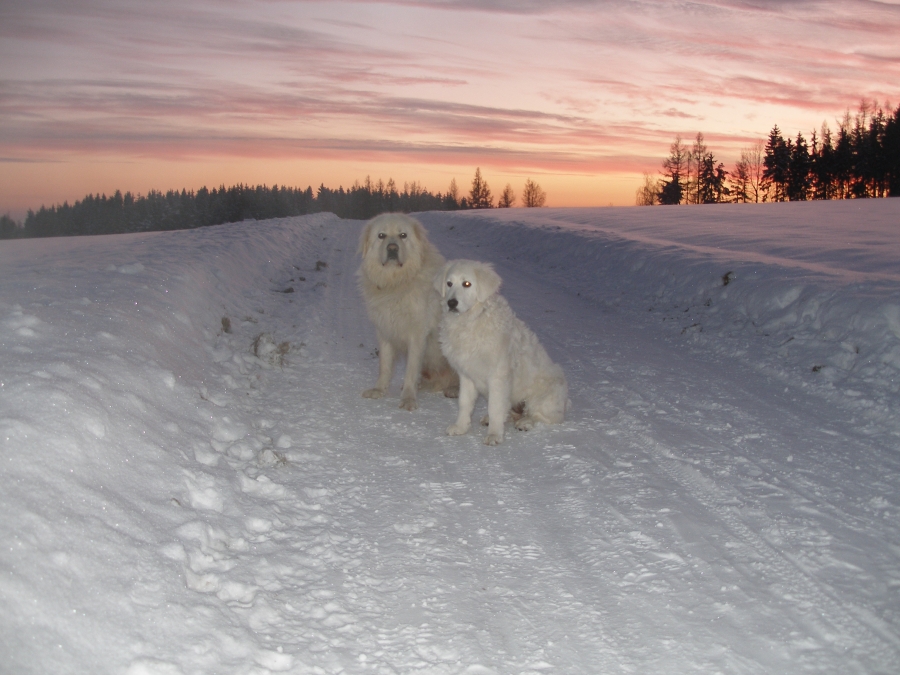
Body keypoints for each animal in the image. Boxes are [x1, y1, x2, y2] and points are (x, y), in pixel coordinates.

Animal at [357, 213, 458, 410]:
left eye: (403, 235)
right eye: (381, 235)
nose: (392, 248)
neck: (397, 282)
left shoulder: (417, 334)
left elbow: (411, 369)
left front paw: (409, 398)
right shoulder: (384, 330)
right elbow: (385, 365)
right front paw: (379, 390)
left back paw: (454, 389)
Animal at [436, 259, 568, 445]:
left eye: (467, 284)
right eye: (449, 284)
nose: (451, 303)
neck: (471, 321)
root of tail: (566, 403)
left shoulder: (498, 375)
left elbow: (495, 406)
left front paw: (494, 435)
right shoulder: (466, 375)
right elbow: (465, 403)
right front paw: (461, 427)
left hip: (543, 396)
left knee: (540, 416)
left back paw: (525, 422)